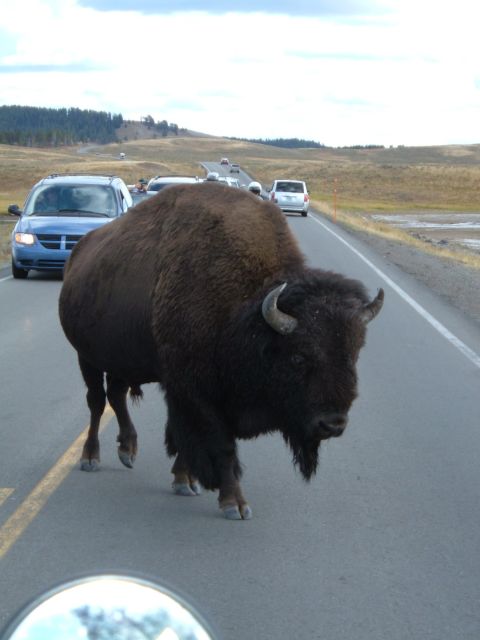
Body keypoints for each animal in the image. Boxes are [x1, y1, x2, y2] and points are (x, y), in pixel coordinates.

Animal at [59, 182, 384, 520]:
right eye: (298, 356)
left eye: (354, 353)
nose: (333, 424)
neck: (246, 313)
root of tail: (79, 253)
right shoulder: (198, 395)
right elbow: (219, 446)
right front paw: (234, 504)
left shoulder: (192, 394)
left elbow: (185, 440)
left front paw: (185, 481)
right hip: (87, 357)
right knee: (97, 402)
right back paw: (90, 458)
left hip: (122, 359)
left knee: (116, 395)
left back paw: (127, 451)